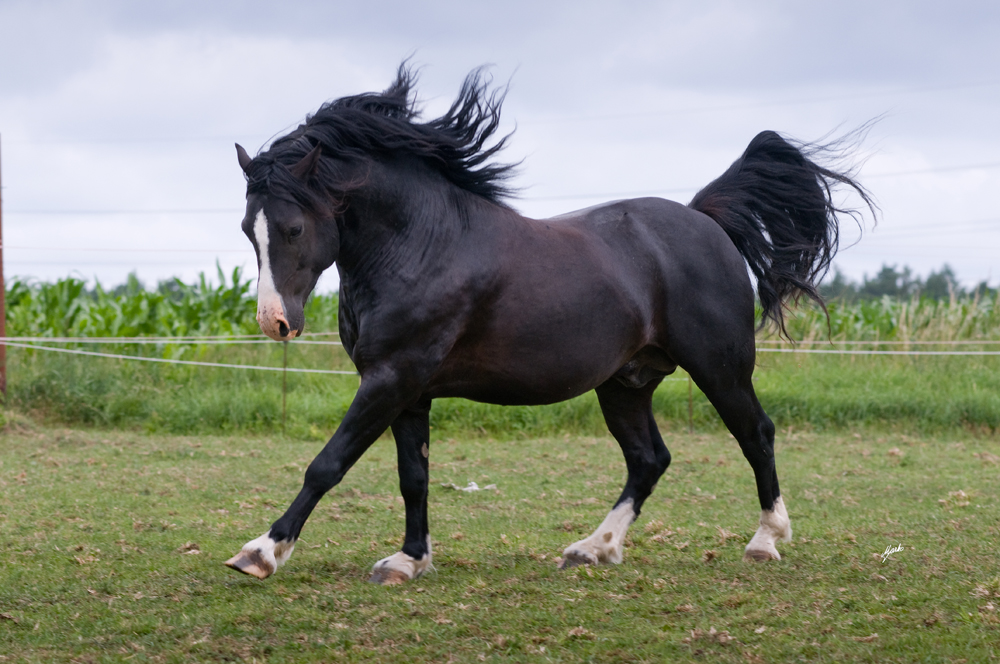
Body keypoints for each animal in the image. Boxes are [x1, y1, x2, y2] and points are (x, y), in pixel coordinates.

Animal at [223, 62, 872, 580]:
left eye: (293, 228)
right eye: (248, 229)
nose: (275, 323)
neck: (422, 245)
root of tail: (703, 219)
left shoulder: (391, 379)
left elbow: (326, 465)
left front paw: (260, 552)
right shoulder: (407, 390)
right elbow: (414, 476)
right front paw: (409, 560)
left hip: (721, 367)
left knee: (755, 434)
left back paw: (765, 541)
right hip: (626, 382)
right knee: (649, 459)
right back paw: (593, 548)